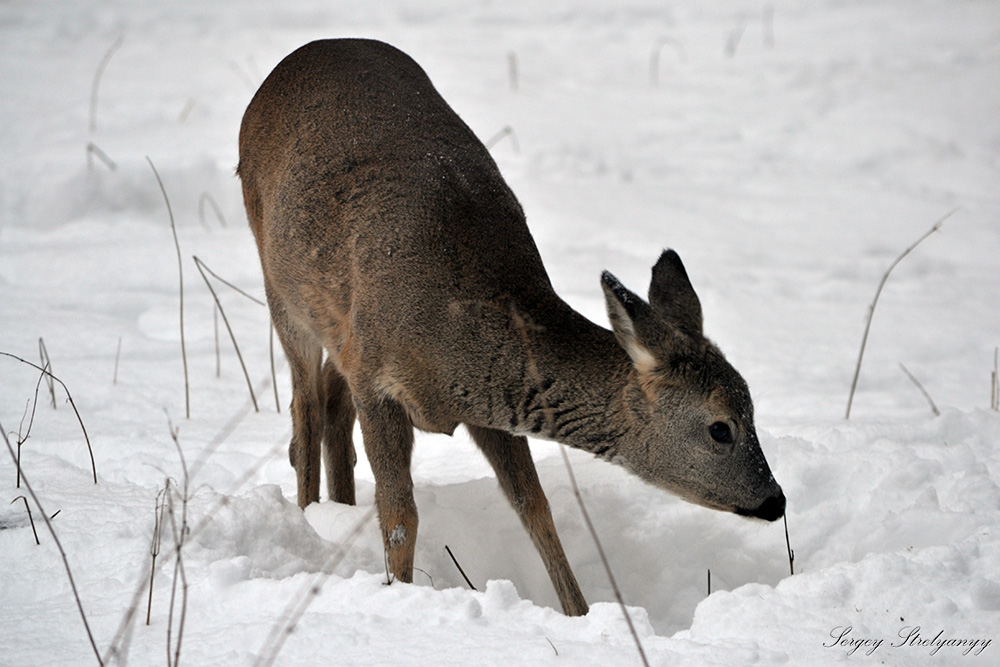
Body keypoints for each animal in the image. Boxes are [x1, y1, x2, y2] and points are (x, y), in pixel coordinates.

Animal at [238, 39, 784, 620]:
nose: (776, 500)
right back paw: (310, 513)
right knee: (305, 407)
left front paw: (579, 613)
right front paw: (402, 596)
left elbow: (534, 507)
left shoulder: (491, 406)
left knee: (330, 403)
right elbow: (400, 515)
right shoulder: (376, 376)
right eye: (721, 427)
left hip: (335, 324)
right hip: (281, 288)